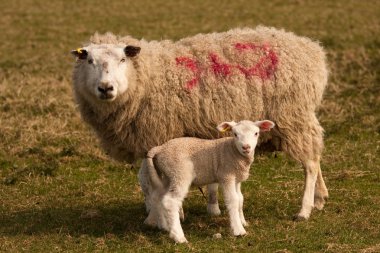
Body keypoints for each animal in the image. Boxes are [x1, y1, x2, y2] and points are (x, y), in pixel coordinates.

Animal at [70, 24, 330, 220]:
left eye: (123, 59)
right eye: (89, 61)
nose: (105, 88)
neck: (147, 78)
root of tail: (312, 50)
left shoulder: (160, 135)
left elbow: (154, 180)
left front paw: (171, 214)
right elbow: (146, 179)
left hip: (293, 118)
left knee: (309, 163)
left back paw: (304, 209)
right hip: (301, 117)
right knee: (316, 155)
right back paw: (320, 198)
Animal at [142, 119, 276, 242]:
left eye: (256, 133)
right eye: (235, 134)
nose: (246, 147)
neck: (233, 151)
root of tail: (159, 149)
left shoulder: (236, 178)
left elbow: (240, 199)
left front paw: (243, 222)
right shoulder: (226, 175)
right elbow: (232, 200)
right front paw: (238, 230)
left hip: (167, 176)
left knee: (158, 197)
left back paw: (164, 226)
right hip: (180, 172)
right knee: (170, 201)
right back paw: (178, 236)